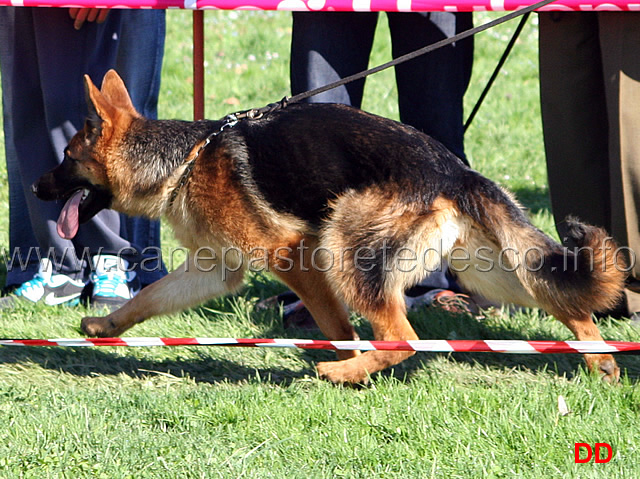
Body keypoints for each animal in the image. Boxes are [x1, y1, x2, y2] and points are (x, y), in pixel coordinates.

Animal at [33, 71, 624, 384]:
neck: (183, 161)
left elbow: (337, 325)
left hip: (346, 248)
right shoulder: (214, 271)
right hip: (489, 272)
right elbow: (149, 298)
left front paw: (345, 359)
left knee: (404, 338)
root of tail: (453, 170)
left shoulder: (294, 256)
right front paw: (105, 326)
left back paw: (344, 373)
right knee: (565, 303)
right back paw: (602, 362)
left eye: (66, 157)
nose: (37, 189)